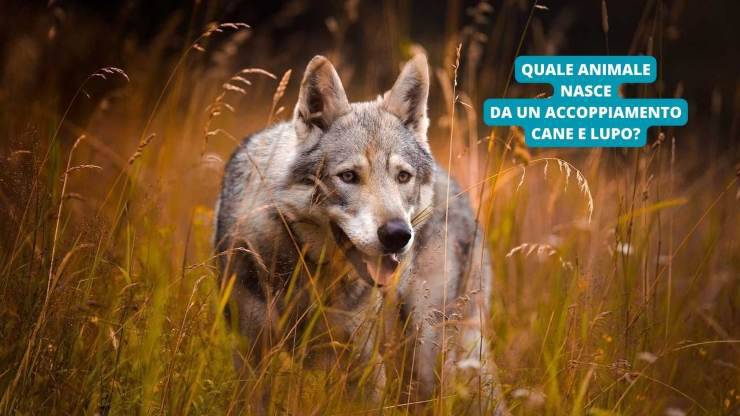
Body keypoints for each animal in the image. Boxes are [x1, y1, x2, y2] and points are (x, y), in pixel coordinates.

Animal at [214, 54, 506, 414]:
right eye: (349, 176)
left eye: (402, 176)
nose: (397, 235)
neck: (312, 275)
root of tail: (459, 190)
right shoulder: (250, 357)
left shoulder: (364, 368)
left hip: (427, 352)